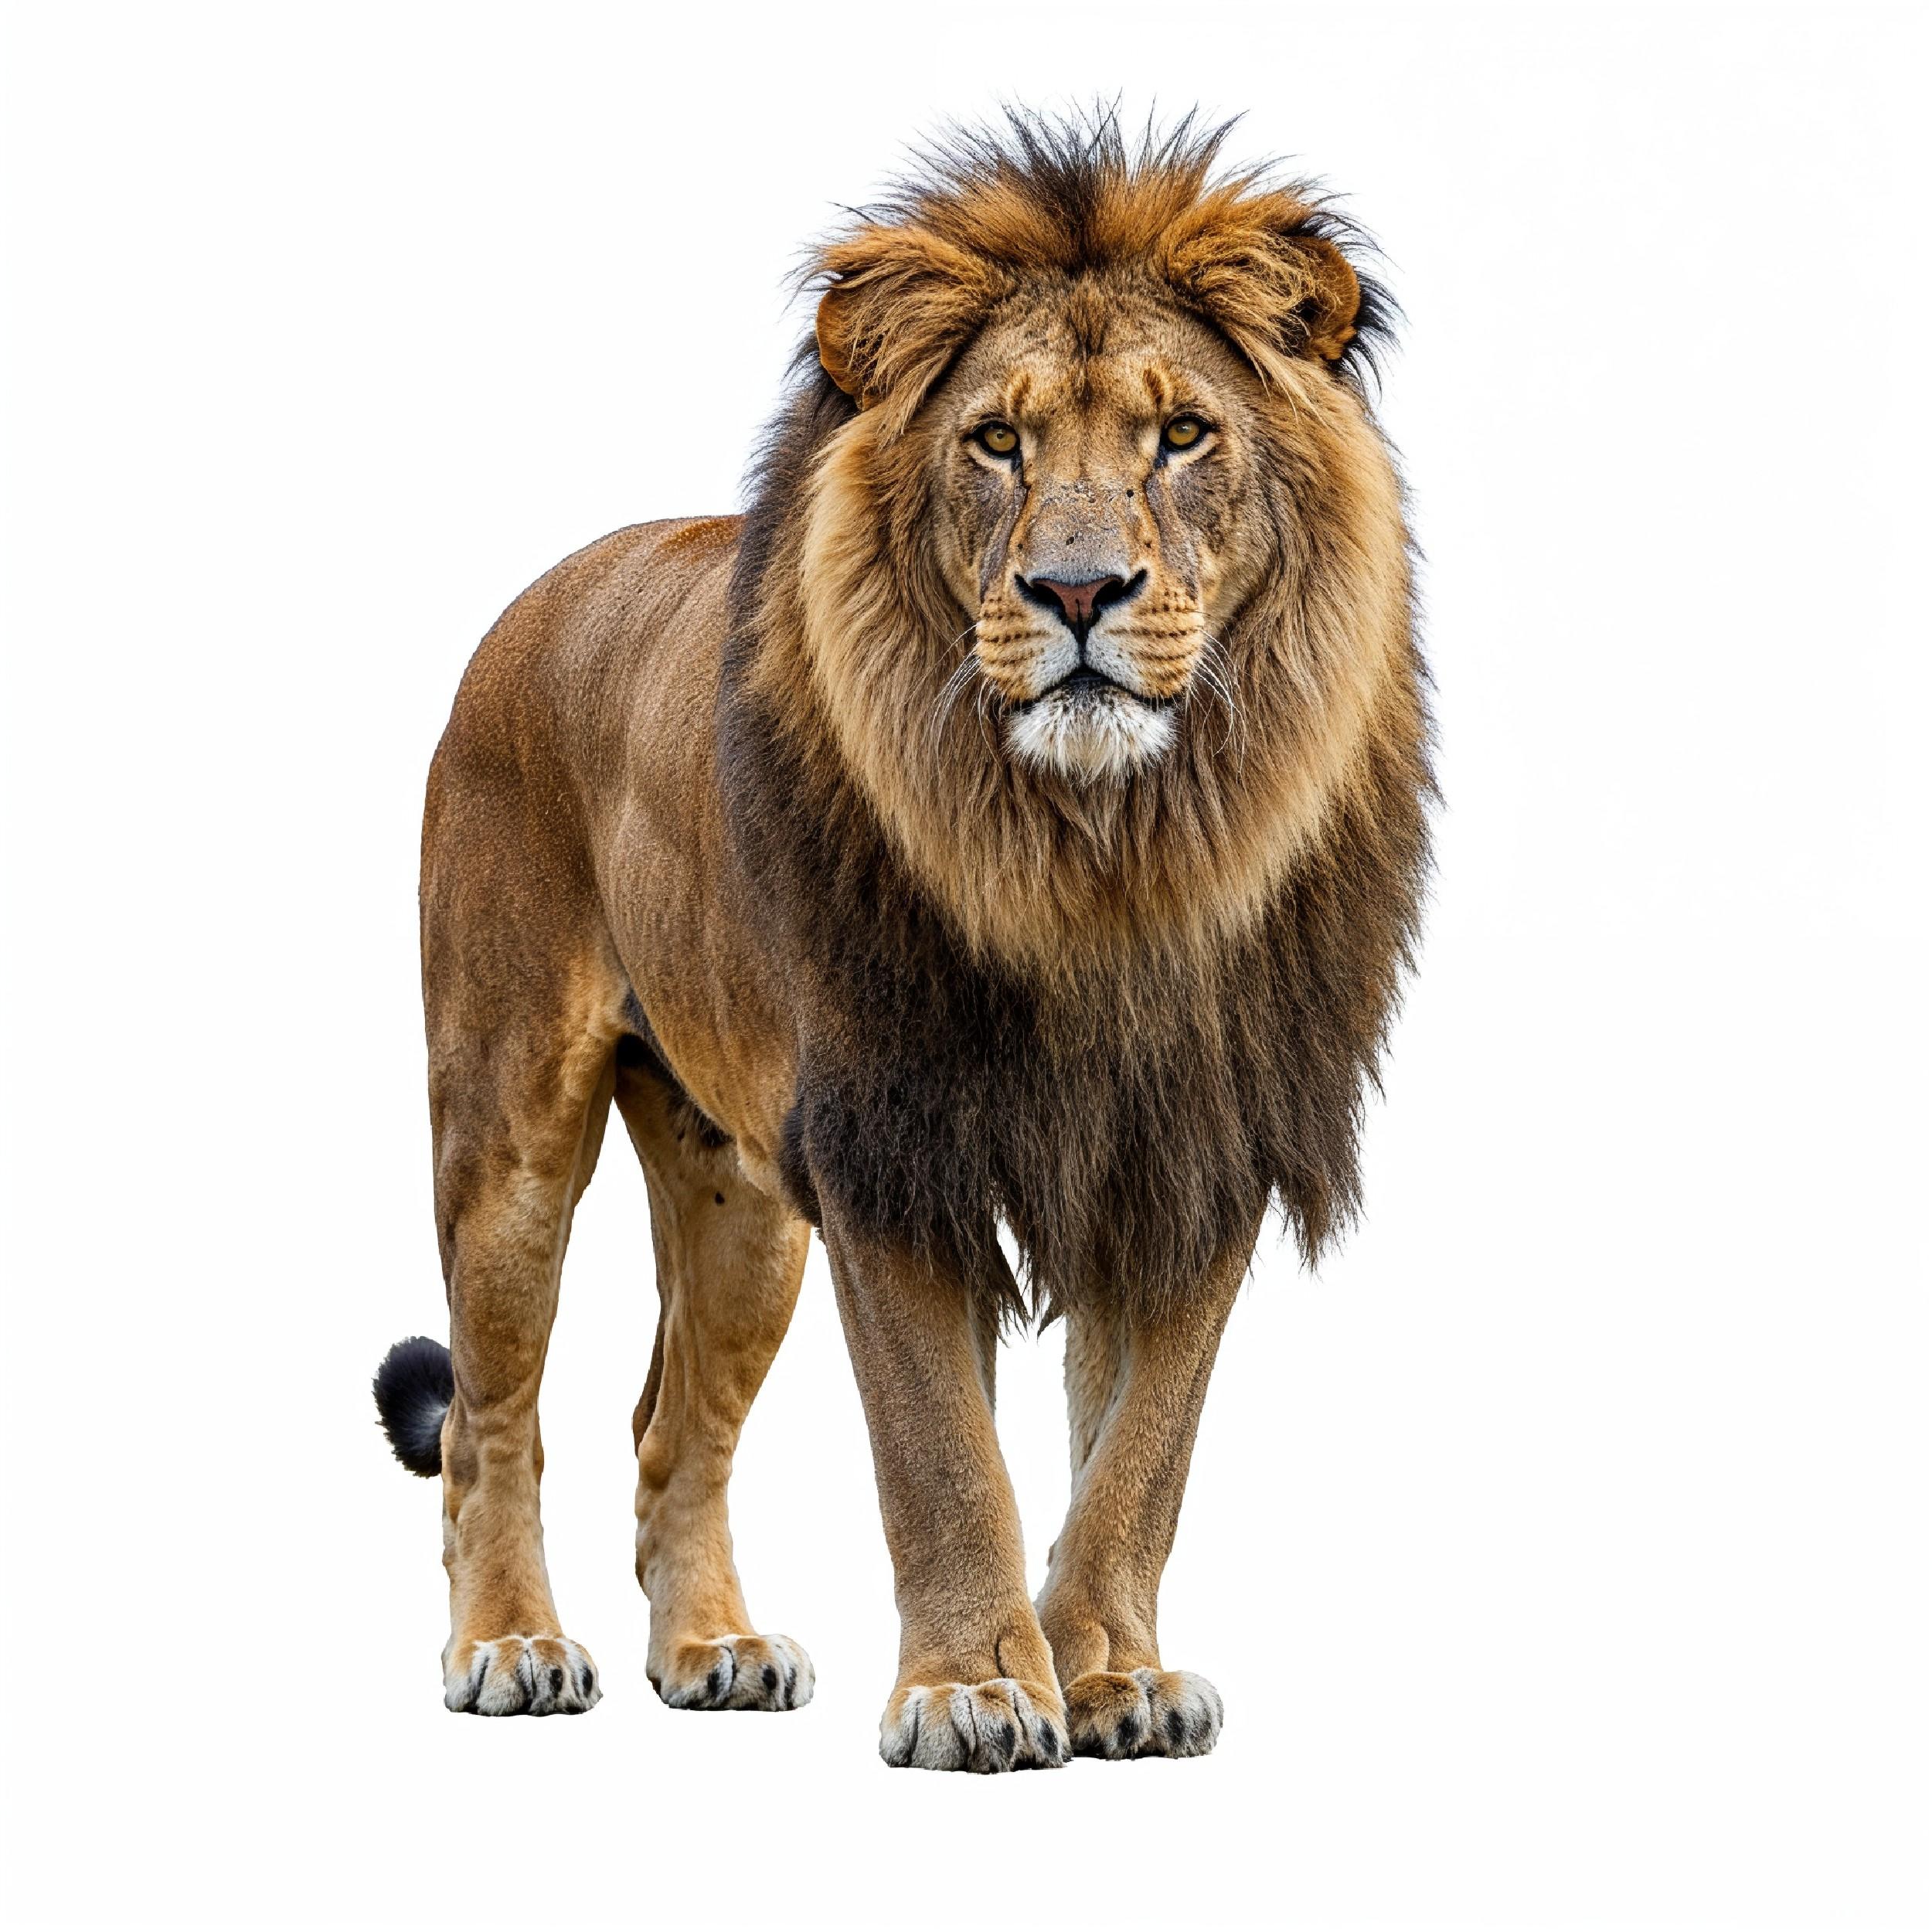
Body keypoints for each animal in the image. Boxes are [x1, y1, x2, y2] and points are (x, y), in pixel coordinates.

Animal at [372, 110, 1431, 1771]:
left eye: (1181, 437)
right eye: (996, 442)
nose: (1078, 590)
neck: (1106, 856)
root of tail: (540, 597)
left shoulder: (1201, 1146)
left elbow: (1142, 1455)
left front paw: (1111, 1672)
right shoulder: (892, 1142)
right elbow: (944, 1453)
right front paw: (976, 1689)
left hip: (742, 1200)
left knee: (670, 1430)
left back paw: (716, 1649)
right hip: (509, 1125)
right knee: (494, 1418)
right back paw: (513, 1646)